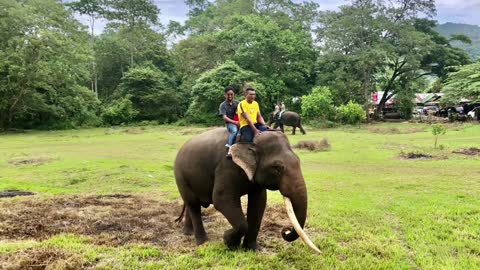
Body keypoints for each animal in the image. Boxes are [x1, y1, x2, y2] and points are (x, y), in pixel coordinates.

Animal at [173, 127, 318, 253]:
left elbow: (258, 203)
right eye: (277, 168)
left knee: (192, 204)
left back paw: (188, 233)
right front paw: (228, 241)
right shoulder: (226, 166)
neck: (251, 141)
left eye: (298, 161)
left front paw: (251, 249)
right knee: (193, 204)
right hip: (180, 176)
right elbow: (222, 200)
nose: (285, 230)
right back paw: (202, 242)